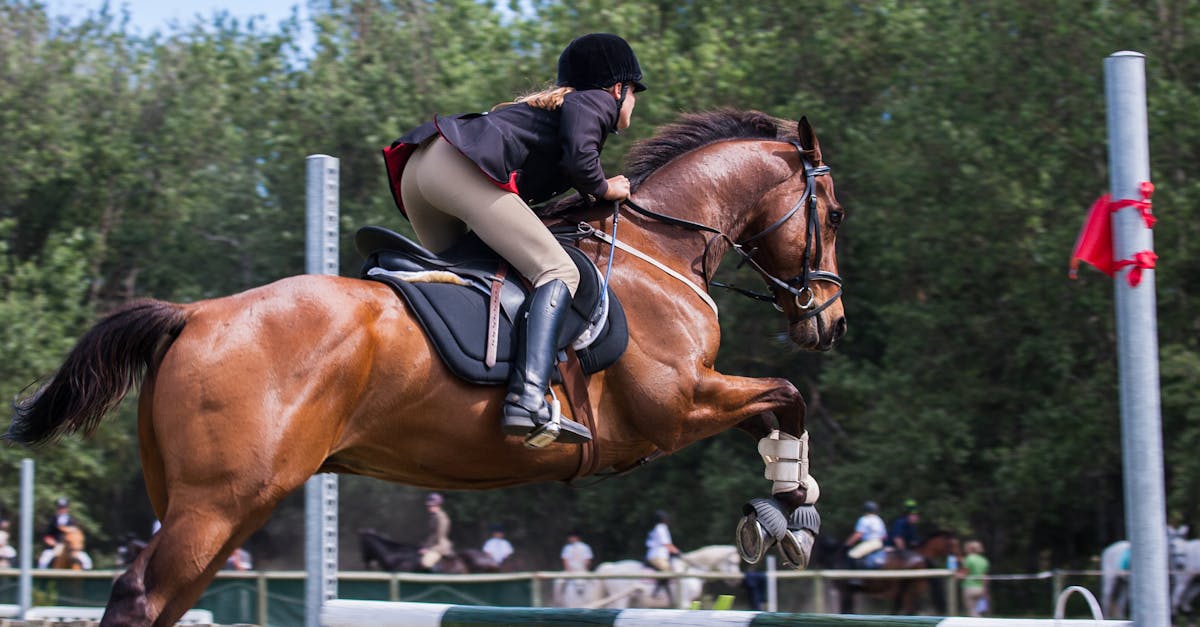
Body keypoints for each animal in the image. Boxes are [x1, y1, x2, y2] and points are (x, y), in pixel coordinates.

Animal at [561, 540, 739, 605]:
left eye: (738, 562)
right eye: (733, 562)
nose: (736, 580)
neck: (691, 568)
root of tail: (610, 567)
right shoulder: (684, 601)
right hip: (621, 599)